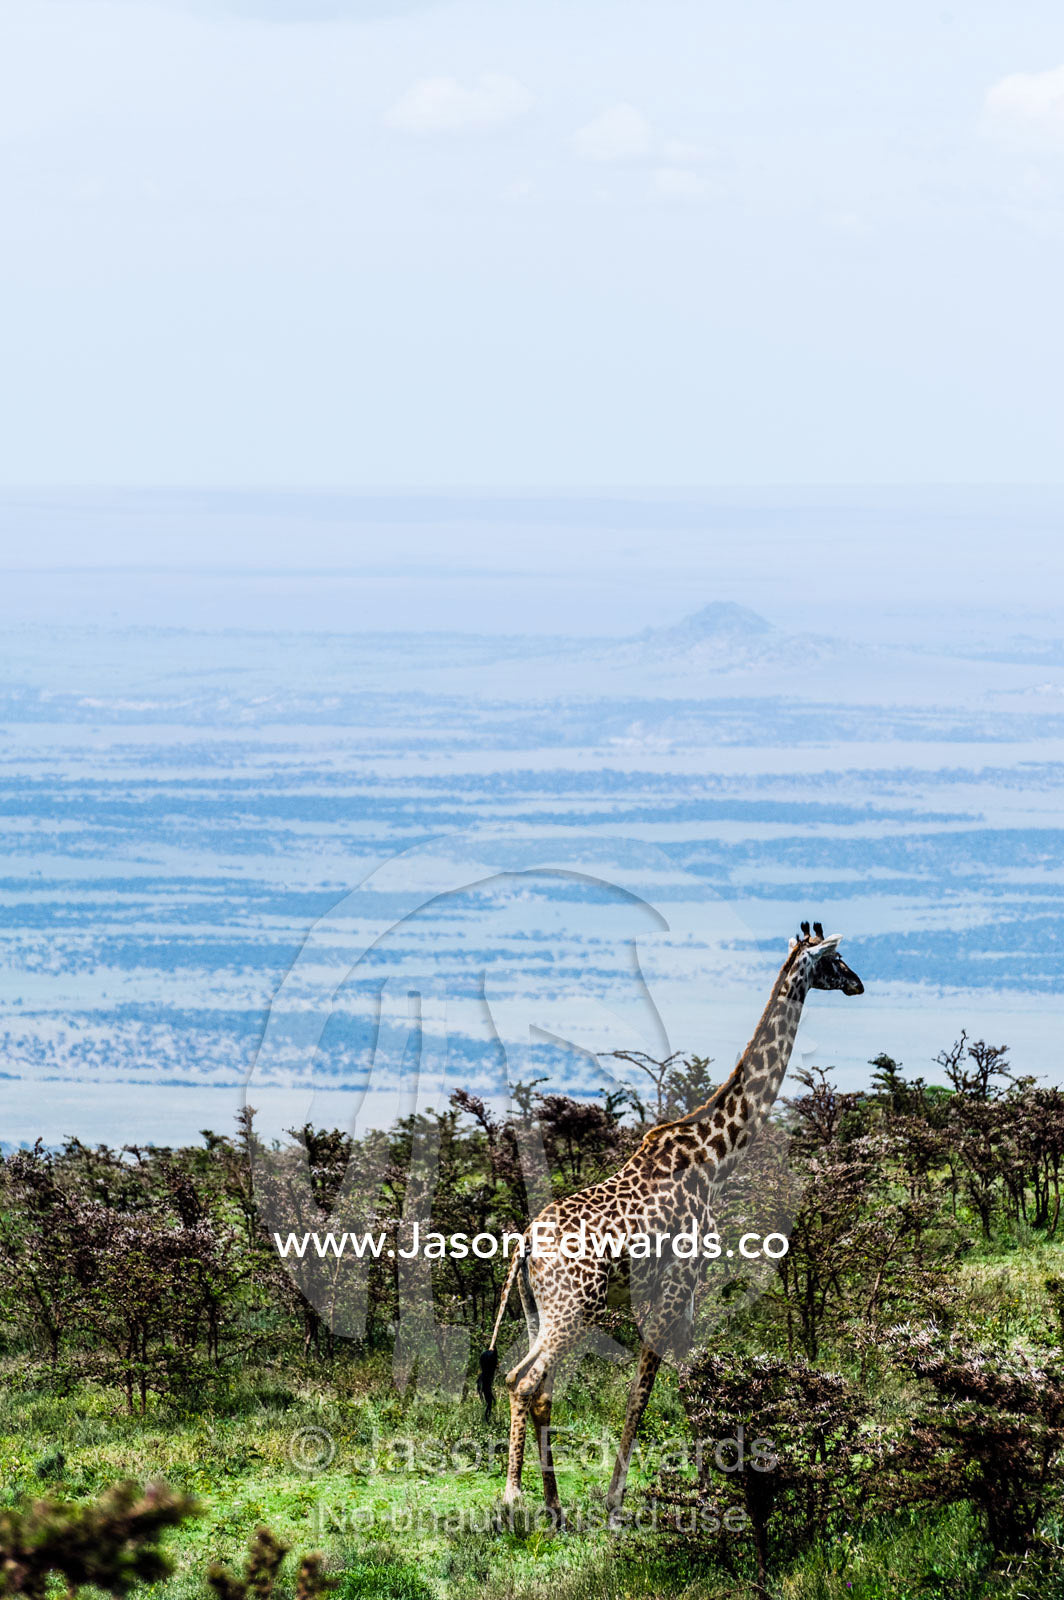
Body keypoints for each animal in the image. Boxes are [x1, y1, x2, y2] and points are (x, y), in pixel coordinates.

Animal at [476, 923, 864, 1524]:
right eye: (837, 959)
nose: (858, 984)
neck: (716, 1157)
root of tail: (524, 1249)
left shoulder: (672, 1291)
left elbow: (676, 1382)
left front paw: (684, 1491)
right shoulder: (680, 1280)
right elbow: (658, 1385)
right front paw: (640, 1498)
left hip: (538, 1309)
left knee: (537, 1386)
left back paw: (555, 1506)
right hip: (575, 1308)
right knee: (525, 1382)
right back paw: (516, 1499)